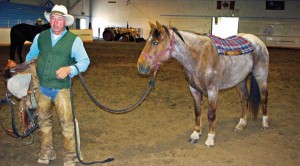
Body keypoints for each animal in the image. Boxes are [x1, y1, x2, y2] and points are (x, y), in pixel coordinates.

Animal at [137, 21, 268, 147]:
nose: (141, 66)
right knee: (244, 98)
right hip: (240, 80)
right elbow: (198, 111)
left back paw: (265, 123)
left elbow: (211, 114)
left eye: (155, 42)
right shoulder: (194, 89)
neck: (199, 57)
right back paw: (242, 124)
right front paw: (196, 134)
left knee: (264, 97)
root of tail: (257, 41)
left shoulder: (212, 91)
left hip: (261, 76)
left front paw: (210, 138)